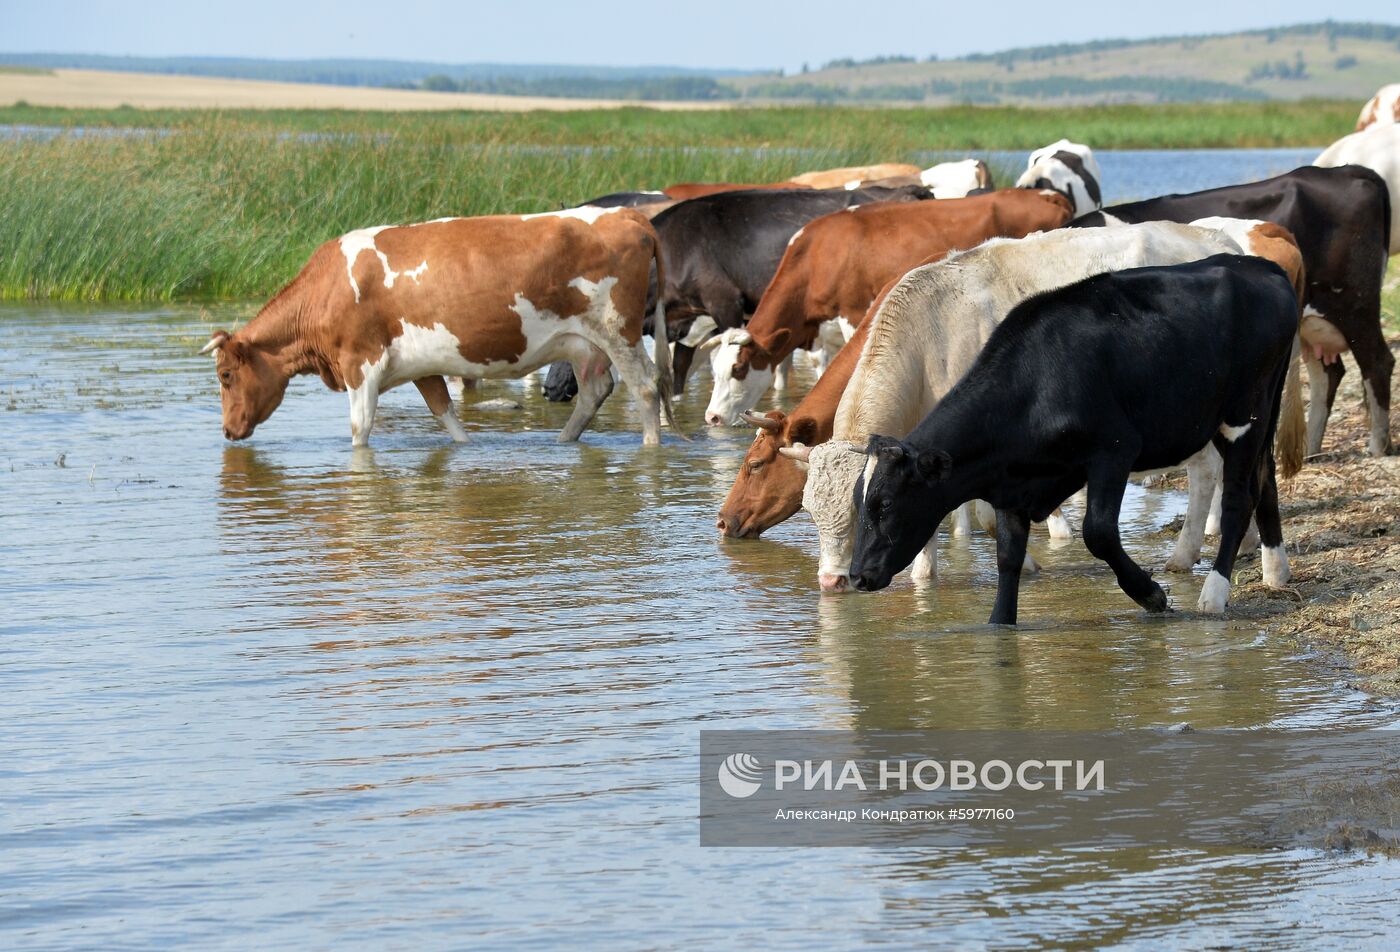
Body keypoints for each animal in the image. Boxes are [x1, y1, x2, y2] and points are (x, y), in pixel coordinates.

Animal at [201, 208, 677, 445]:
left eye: (225, 375)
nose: (227, 430)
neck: (328, 285)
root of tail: (626, 214)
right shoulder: (421, 367)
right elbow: (447, 416)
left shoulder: (361, 363)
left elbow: (360, 429)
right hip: (583, 343)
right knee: (596, 390)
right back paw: (562, 442)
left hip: (618, 331)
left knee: (646, 387)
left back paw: (650, 448)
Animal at [700, 189, 1069, 422]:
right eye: (715, 369)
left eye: (738, 369)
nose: (712, 417)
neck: (818, 254)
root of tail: (1046, 194)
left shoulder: (851, 312)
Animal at [845, 254, 1304, 624]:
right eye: (860, 503)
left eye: (885, 504)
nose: (856, 575)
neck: (1031, 386)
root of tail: (1260, 266)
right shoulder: (1010, 486)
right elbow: (1008, 559)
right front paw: (999, 625)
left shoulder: (1114, 450)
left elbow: (1097, 532)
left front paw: (1150, 594)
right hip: (1251, 415)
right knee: (1265, 480)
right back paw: (1275, 570)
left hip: (1246, 414)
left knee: (1238, 498)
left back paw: (1215, 592)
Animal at [1069, 164, 1388, 456]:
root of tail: (1344, 170)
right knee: (1328, 373)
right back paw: (1310, 449)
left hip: (1355, 305)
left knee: (1377, 362)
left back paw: (1378, 446)